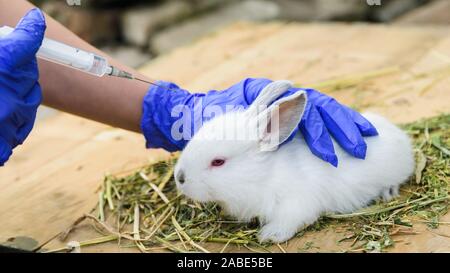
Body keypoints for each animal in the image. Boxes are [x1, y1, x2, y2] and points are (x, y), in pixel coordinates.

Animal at [172, 79, 414, 241]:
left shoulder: (296, 203)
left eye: (218, 162)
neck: (263, 175)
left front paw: (269, 235)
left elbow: (289, 220)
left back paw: (387, 193)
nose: (180, 178)